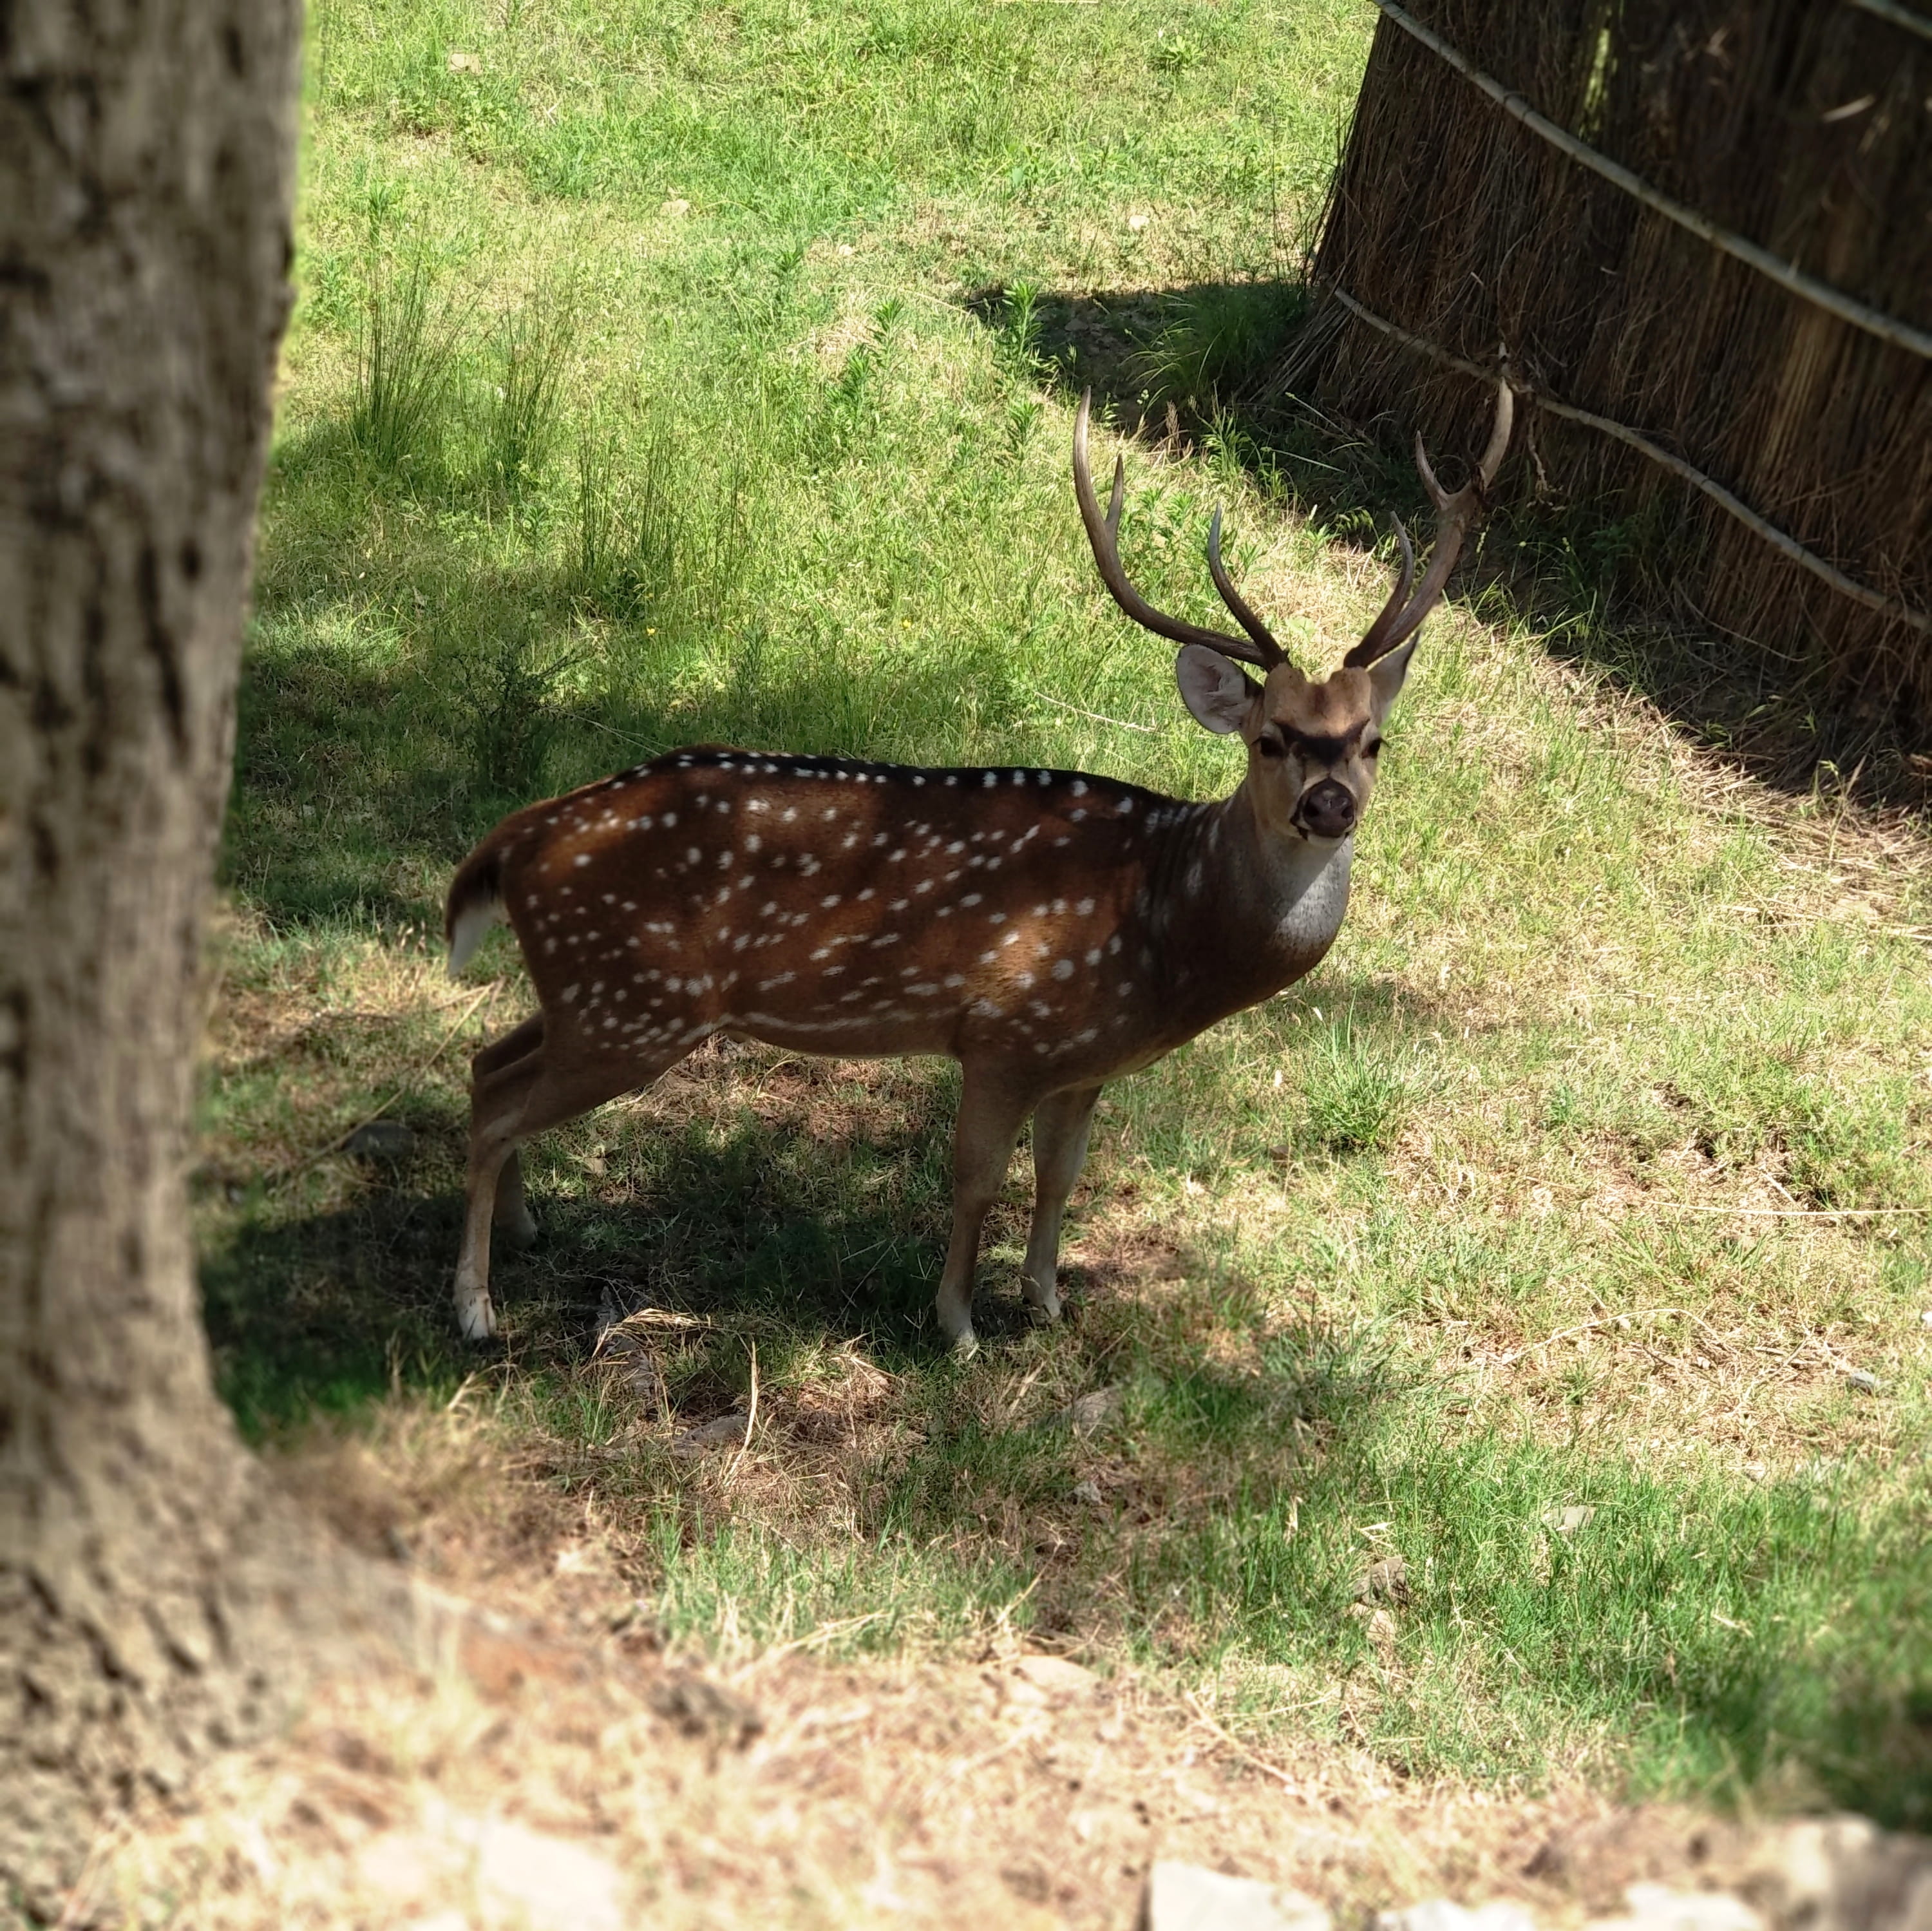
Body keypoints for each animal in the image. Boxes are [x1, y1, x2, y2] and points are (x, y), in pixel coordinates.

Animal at [443, 380, 1514, 1351]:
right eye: (1271, 738)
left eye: (1373, 740)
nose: (1328, 804)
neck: (1162, 926)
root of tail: (514, 839)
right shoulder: (1005, 1028)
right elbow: (975, 1178)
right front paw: (957, 1325)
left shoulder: (1087, 1060)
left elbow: (1061, 1176)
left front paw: (1046, 1301)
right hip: (636, 1004)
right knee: (496, 1103)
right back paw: (476, 1308)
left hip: (596, 992)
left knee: (487, 1059)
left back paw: (529, 1228)